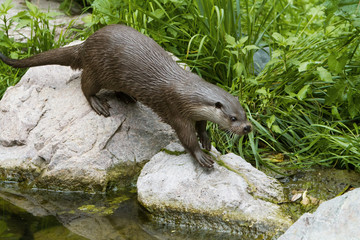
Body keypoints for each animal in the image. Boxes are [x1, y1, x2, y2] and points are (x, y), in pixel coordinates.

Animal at [0, 23, 252, 167]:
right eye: (233, 118)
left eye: (244, 114)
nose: (248, 128)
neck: (189, 92)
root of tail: (86, 43)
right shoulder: (176, 110)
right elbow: (186, 137)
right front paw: (200, 155)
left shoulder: (196, 113)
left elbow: (201, 126)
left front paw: (207, 140)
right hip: (98, 69)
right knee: (85, 86)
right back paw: (98, 103)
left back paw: (126, 97)